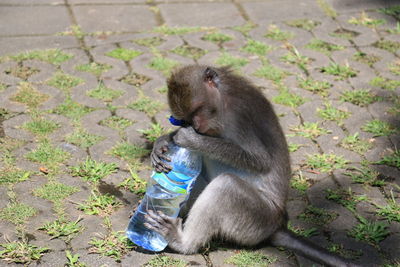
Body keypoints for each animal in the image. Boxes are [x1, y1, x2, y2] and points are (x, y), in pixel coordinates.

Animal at [145, 65, 358, 267]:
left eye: (197, 110)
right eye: (185, 118)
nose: (195, 127)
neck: (223, 99)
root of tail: (278, 225)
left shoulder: (240, 114)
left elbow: (260, 160)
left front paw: (189, 139)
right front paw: (163, 142)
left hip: (256, 220)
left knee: (226, 185)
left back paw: (182, 242)